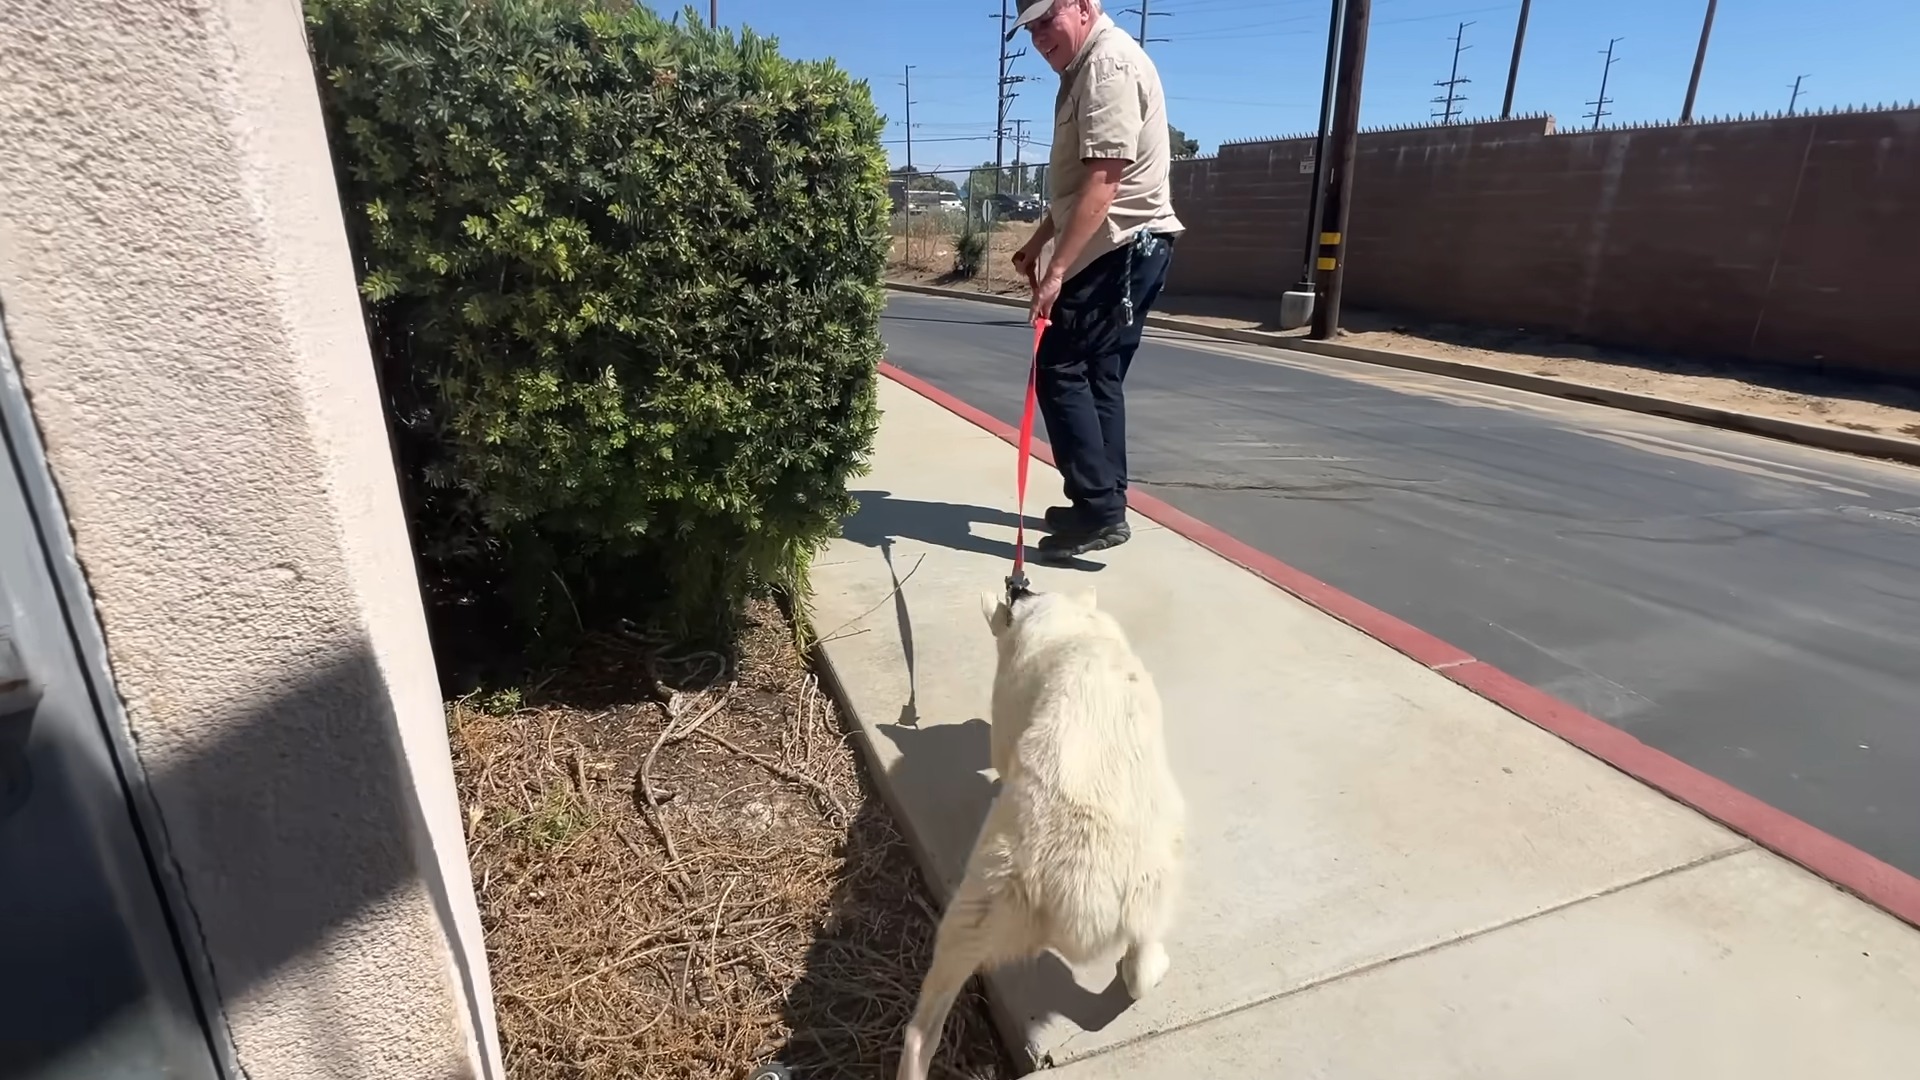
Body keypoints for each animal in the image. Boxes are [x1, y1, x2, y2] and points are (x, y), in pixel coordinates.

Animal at [898, 584, 1182, 1076]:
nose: (1018, 584)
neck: (1067, 619)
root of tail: (1073, 887)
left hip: (980, 907)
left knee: (924, 1023)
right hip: (1148, 885)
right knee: (1140, 969)